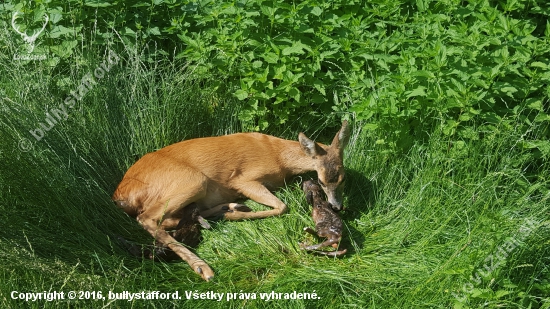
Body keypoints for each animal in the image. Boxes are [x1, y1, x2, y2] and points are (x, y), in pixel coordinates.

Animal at [113, 120, 352, 282]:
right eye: (320, 181)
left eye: (343, 178)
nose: (336, 206)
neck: (280, 157)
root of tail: (120, 195)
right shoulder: (243, 179)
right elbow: (282, 206)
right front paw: (235, 214)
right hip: (192, 179)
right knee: (148, 218)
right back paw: (204, 267)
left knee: (171, 218)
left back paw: (226, 209)